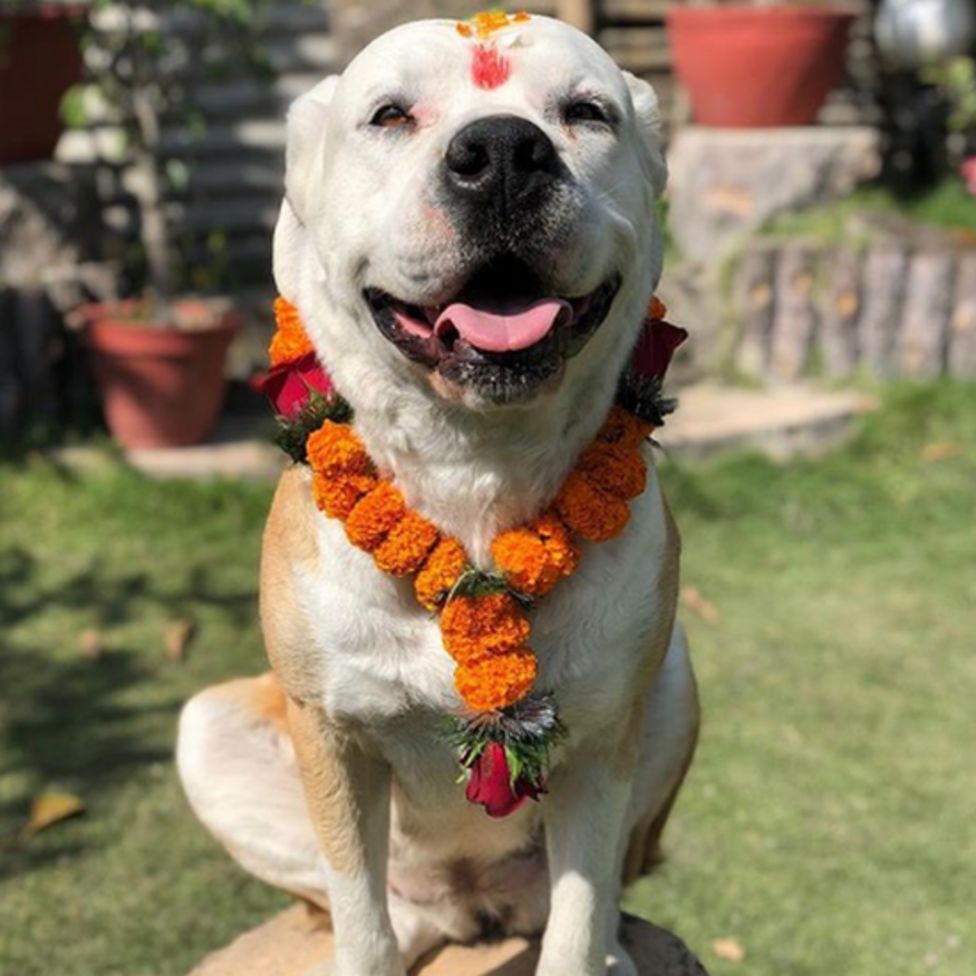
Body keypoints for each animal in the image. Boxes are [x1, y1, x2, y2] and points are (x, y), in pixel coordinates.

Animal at [179, 15, 696, 976]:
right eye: (389, 115)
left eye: (586, 112)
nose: (501, 151)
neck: (472, 471)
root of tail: (471, 908)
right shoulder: (329, 736)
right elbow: (358, 910)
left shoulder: (604, 739)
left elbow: (579, 918)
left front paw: (591, 946)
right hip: (212, 729)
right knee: (384, 911)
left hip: (673, 677)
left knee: (585, 896)